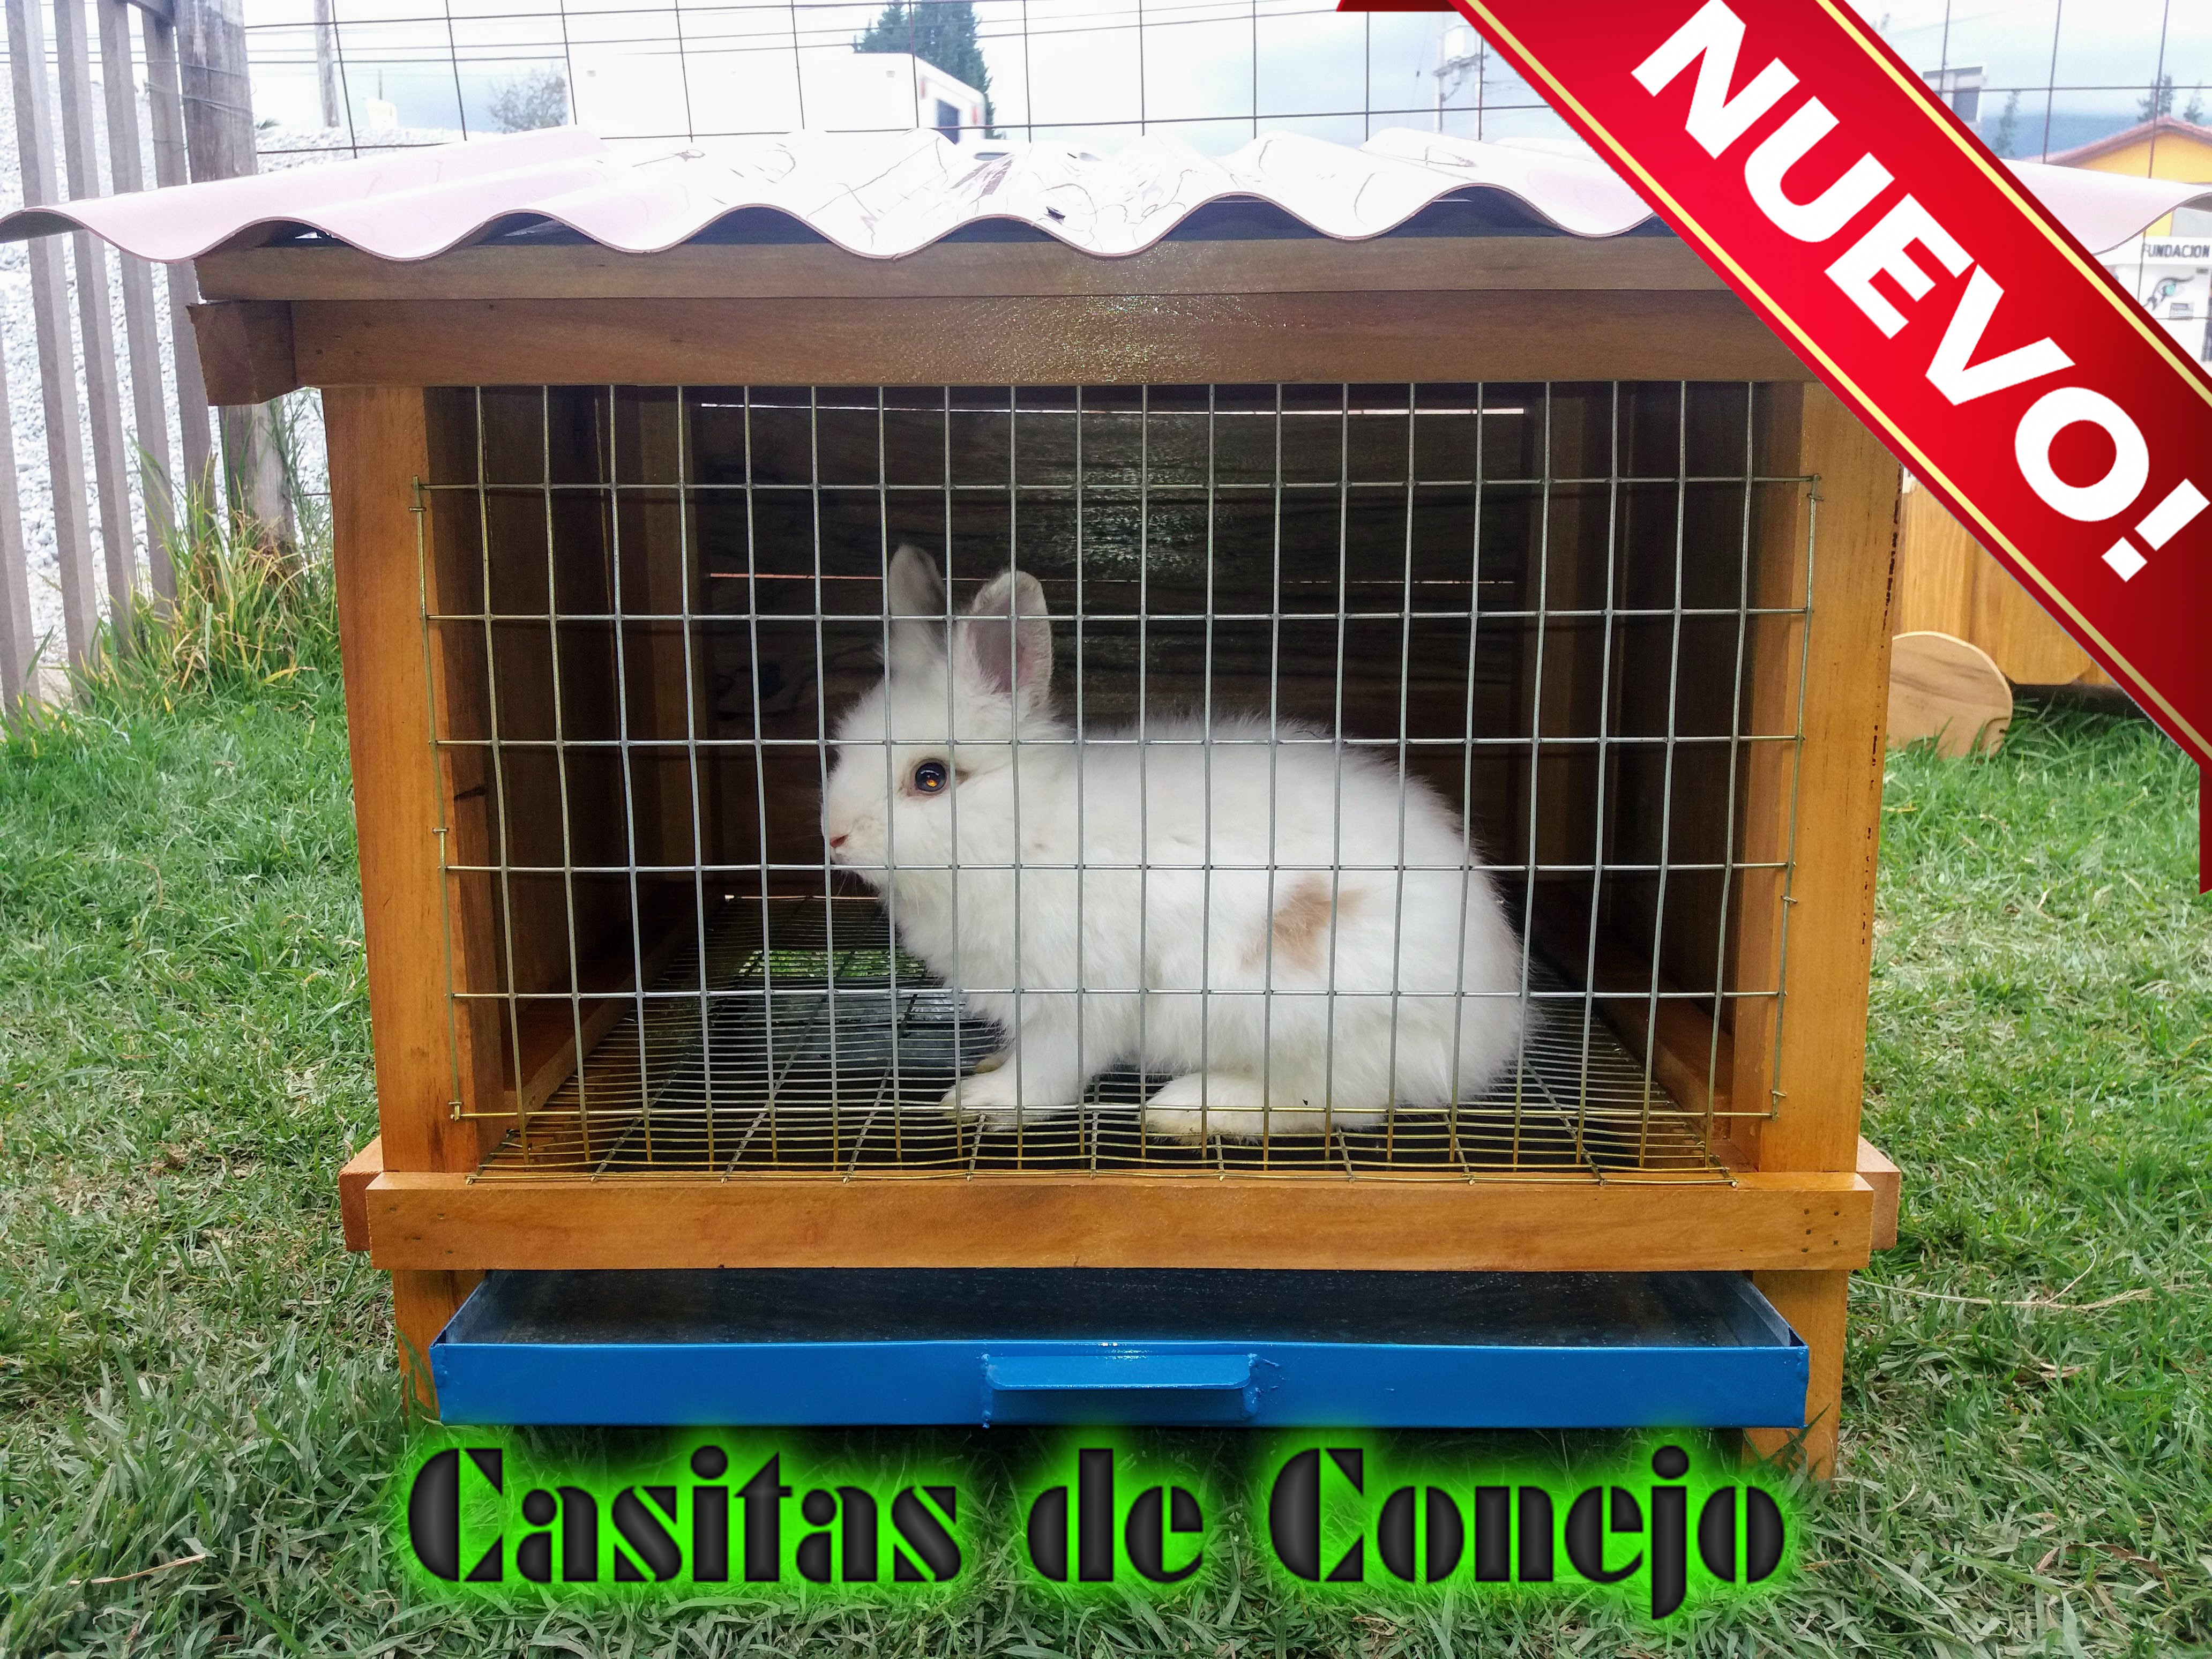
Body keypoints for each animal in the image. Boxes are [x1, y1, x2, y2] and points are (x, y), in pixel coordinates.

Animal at [820, 544, 1527, 1139]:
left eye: (931, 778)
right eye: (844, 748)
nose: (834, 836)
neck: (1031, 831)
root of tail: (1493, 1029)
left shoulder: (1080, 996)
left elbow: (1051, 1069)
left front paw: (985, 1103)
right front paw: (992, 1069)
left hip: (1302, 1011)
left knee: (1337, 1098)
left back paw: (1189, 1107)